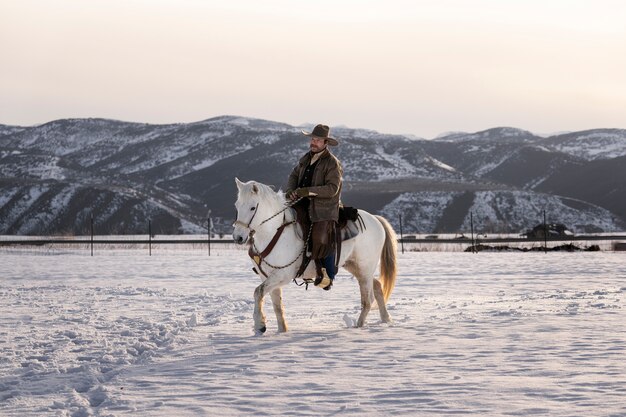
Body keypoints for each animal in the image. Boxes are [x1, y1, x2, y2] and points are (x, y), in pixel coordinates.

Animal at [232, 177, 398, 334]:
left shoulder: (282, 275)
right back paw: (385, 318)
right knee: (377, 286)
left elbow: (258, 292)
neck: (274, 232)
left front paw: (260, 325)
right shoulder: (266, 276)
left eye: (253, 207)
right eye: (237, 205)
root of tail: (376, 219)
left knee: (367, 300)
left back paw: (359, 326)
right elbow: (276, 304)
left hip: (364, 269)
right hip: (355, 266)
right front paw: (281, 330)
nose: (238, 237)